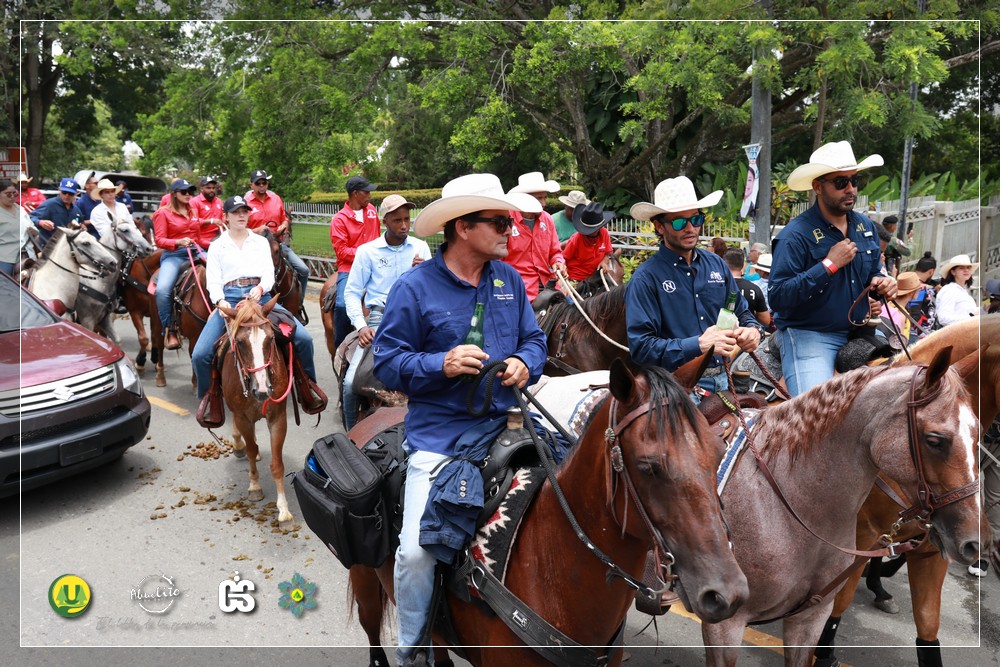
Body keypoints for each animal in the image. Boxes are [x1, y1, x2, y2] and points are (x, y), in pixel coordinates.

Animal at [220, 298, 294, 532]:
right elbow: (251, 450)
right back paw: (238, 445)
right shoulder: (242, 417)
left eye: (270, 338)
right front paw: (254, 486)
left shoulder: (278, 418)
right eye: (240, 342)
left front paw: (284, 511)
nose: (262, 390)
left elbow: (277, 465)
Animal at [816, 316, 996, 667]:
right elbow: (839, 599)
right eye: (935, 440)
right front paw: (823, 652)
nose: (977, 544)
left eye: (976, 435)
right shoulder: (859, 537)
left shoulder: (931, 550)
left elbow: (928, 627)